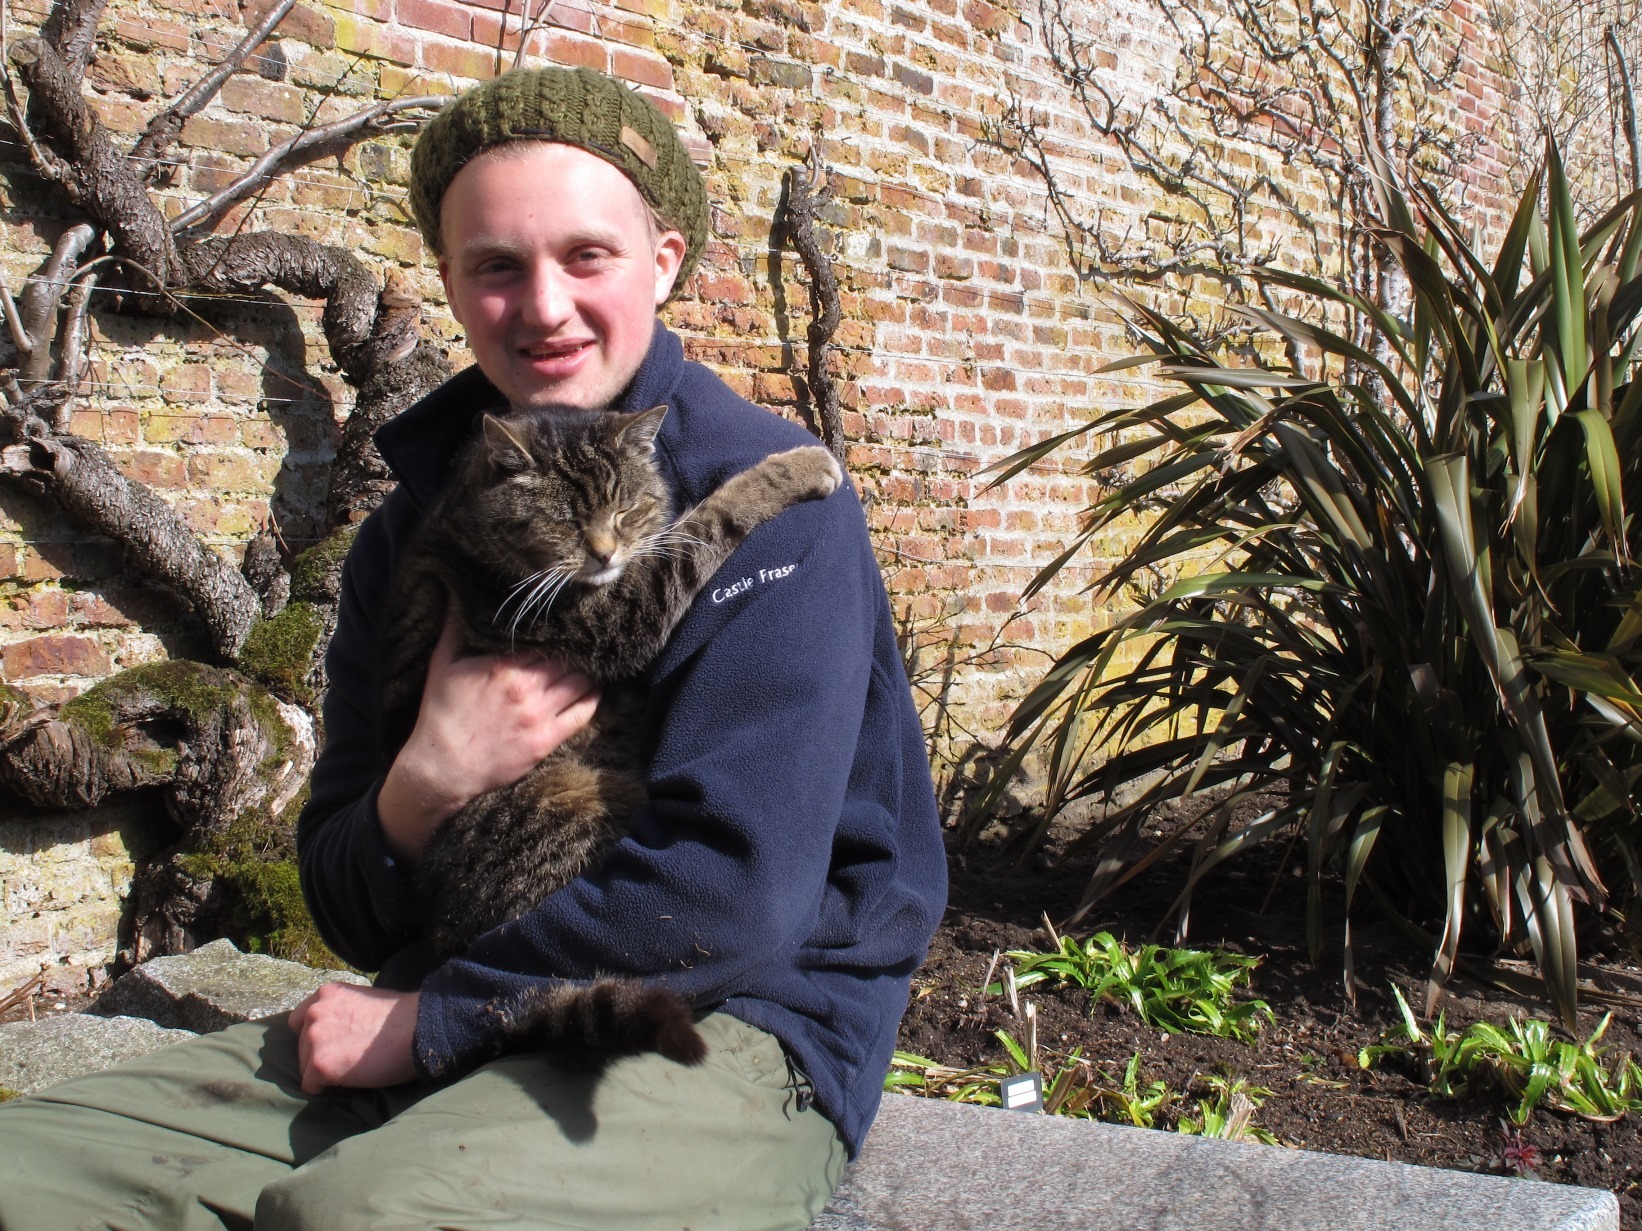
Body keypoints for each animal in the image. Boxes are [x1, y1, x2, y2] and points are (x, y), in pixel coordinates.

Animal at [379, 405, 840, 1070]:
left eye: (624, 509)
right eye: (565, 519)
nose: (602, 553)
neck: (472, 523)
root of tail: (443, 931)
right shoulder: (621, 614)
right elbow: (707, 522)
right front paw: (798, 464)